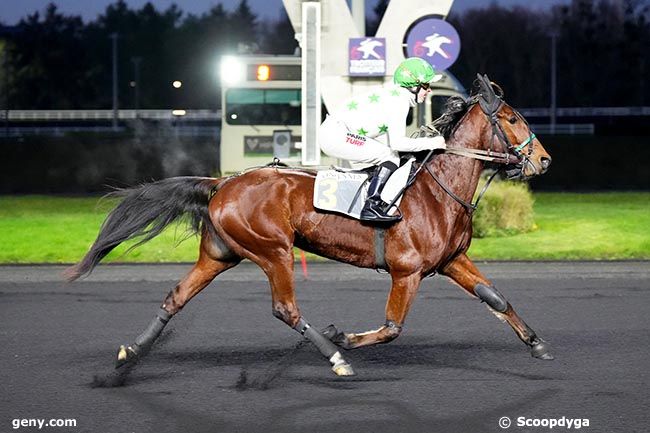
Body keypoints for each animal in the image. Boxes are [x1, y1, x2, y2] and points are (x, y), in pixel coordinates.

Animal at [67, 76, 552, 376]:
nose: (544, 160)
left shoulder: (451, 260)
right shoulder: (407, 271)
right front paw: (346, 338)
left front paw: (536, 344)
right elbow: (392, 328)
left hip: (221, 254)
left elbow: (496, 297)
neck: (437, 191)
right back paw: (336, 356)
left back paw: (130, 352)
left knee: (176, 297)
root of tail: (223, 182)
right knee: (286, 309)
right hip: (273, 250)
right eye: (511, 118)